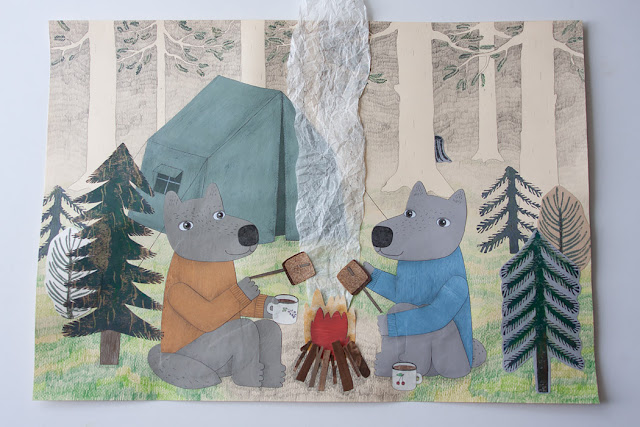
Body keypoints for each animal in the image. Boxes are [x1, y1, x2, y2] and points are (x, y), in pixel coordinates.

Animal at [147, 183, 289, 389]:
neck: (208, 263)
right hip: (206, 353)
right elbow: (207, 316)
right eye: (186, 225)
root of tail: (162, 354)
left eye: (220, 214)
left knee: (269, 328)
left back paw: (274, 377)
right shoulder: (178, 289)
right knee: (244, 330)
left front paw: (271, 303)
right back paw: (250, 378)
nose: (249, 232)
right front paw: (247, 287)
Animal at [363, 181, 486, 379]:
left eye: (443, 222)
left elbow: (435, 314)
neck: (425, 261)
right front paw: (366, 270)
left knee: (414, 313)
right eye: (409, 213)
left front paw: (384, 324)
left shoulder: (457, 283)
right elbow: (394, 291)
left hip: (450, 359)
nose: (380, 233)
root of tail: (471, 362)